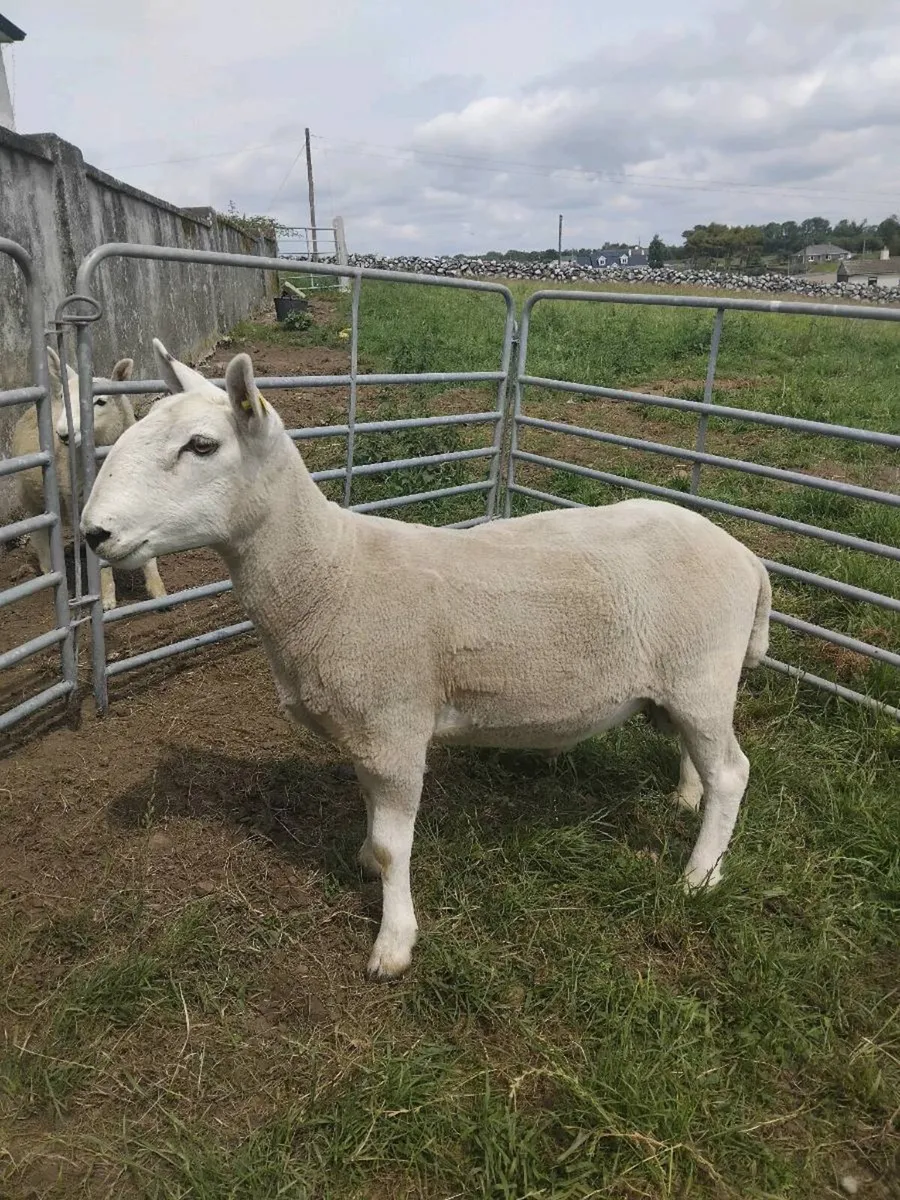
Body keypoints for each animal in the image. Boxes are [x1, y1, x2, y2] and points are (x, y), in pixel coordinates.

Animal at [11, 346, 167, 610]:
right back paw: (51, 572)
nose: (63, 434)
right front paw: (107, 598)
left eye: (101, 401)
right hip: (32, 498)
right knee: (39, 536)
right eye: (63, 396)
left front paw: (159, 591)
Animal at [81, 338, 772, 981]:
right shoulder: (368, 731)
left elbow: (395, 849)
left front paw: (393, 943)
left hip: (703, 672)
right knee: (697, 752)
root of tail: (743, 553)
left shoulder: (393, 725)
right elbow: (371, 817)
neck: (329, 573)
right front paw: (363, 859)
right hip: (681, 681)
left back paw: (701, 875)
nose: (93, 533)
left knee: (732, 772)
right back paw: (685, 797)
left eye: (201, 446)